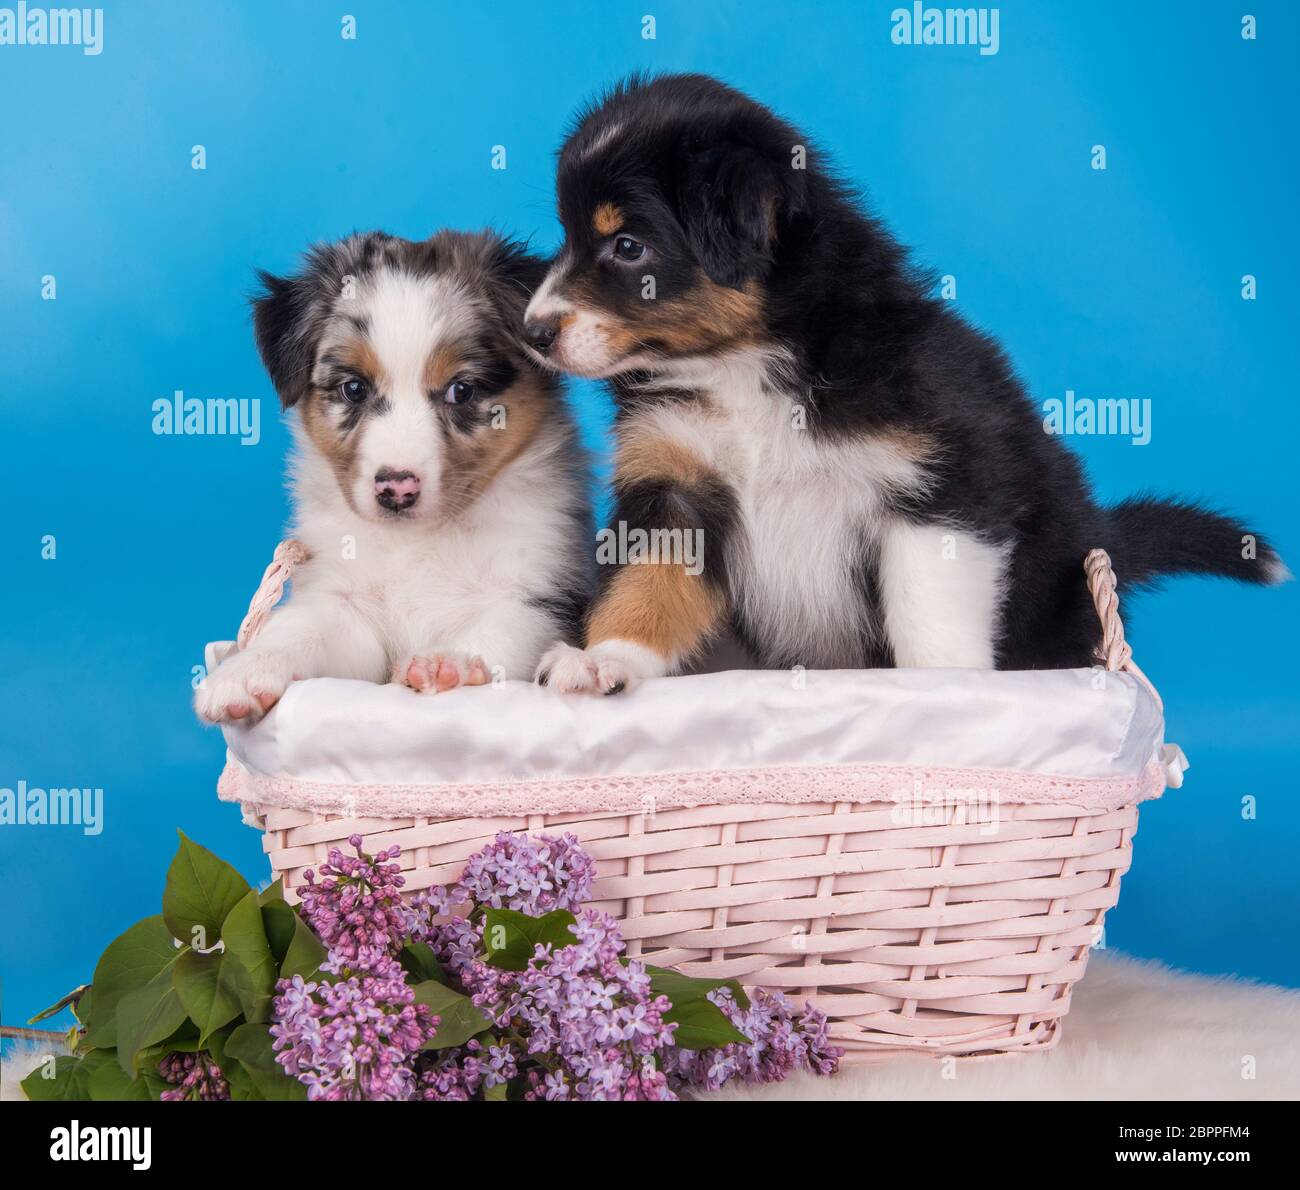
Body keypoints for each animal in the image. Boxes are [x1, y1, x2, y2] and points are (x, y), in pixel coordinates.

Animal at [517, 74, 1279, 691]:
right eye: (567, 236)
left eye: (627, 246)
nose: (532, 332)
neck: (745, 366)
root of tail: (1102, 530)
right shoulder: (674, 487)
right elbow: (644, 588)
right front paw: (601, 661)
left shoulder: (940, 493)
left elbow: (930, 617)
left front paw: (941, 698)